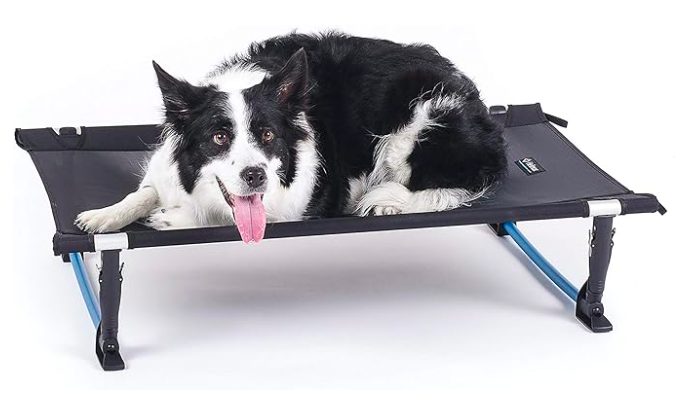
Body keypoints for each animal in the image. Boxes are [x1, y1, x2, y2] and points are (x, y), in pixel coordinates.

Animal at [77, 32, 508, 243]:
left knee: (447, 182)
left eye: (268, 134)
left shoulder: (299, 208)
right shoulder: (166, 170)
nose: (255, 176)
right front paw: (103, 215)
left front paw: (175, 219)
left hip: (420, 119)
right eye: (218, 137)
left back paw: (388, 201)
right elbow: (142, 193)